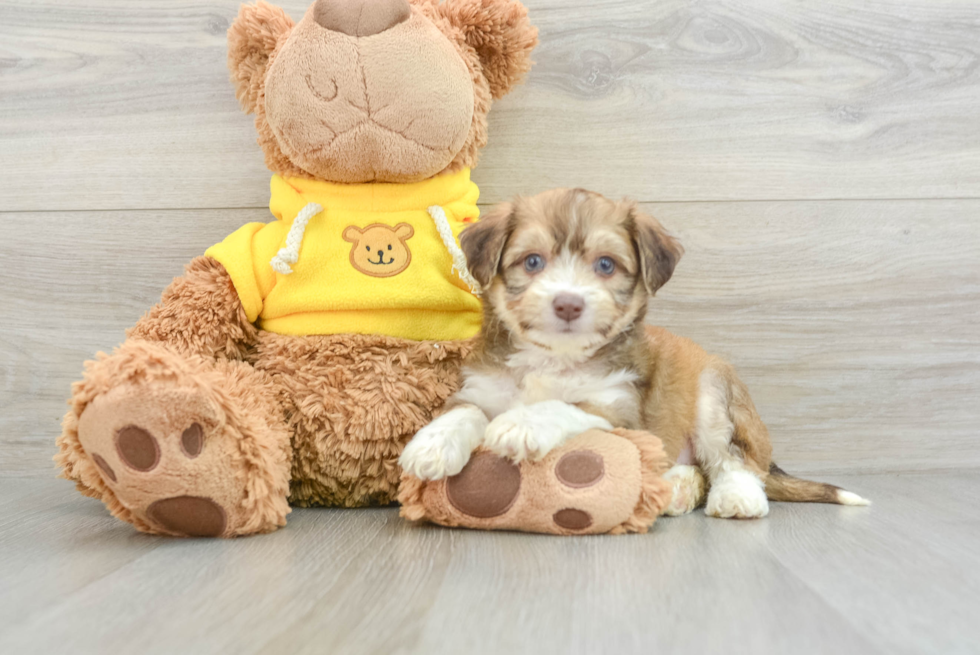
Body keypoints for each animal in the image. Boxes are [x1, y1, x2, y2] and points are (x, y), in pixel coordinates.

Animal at [402, 188, 868, 516]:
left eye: (606, 265)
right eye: (532, 262)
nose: (568, 304)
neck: (554, 356)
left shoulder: (620, 411)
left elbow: (566, 404)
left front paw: (522, 424)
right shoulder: (481, 386)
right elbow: (464, 412)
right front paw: (431, 446)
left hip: (715, 394)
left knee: (734, 461)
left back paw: (736, 499)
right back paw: (677, 488)